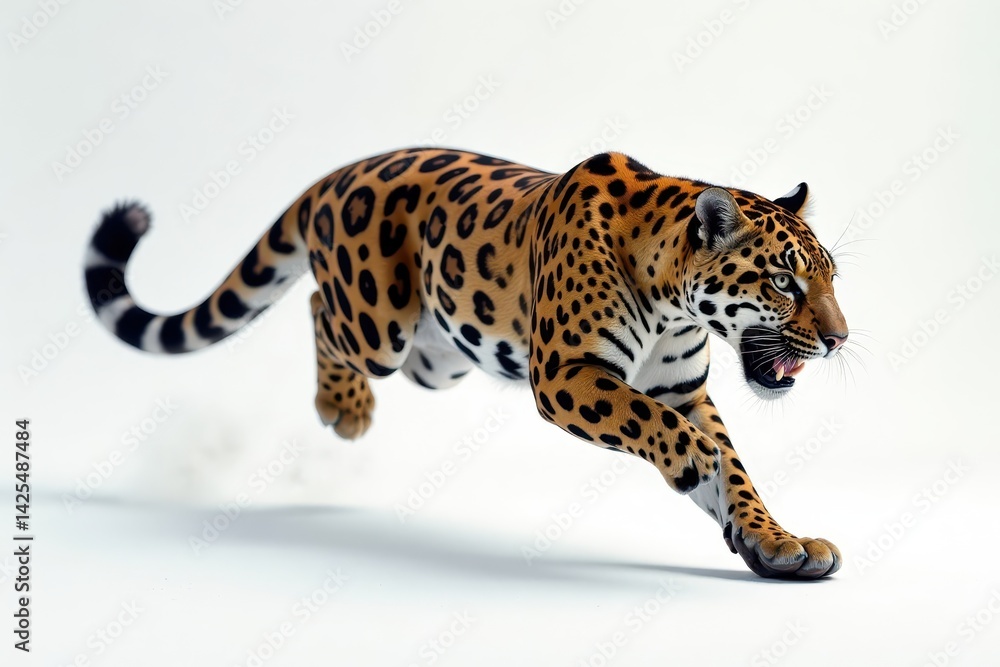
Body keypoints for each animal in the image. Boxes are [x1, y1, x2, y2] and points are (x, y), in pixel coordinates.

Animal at [85, 148, 849, 579]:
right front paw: (690, 458)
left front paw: (776, 543)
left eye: (831, 278)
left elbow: (738, 474)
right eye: (784, 281)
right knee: (318, 309)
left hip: (439, 357)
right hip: (379, 325)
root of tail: (340, 173)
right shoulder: (567, 374)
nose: (841, 339)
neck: (674, 303)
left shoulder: (685, 390)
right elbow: (650, 422)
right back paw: (345, 406)